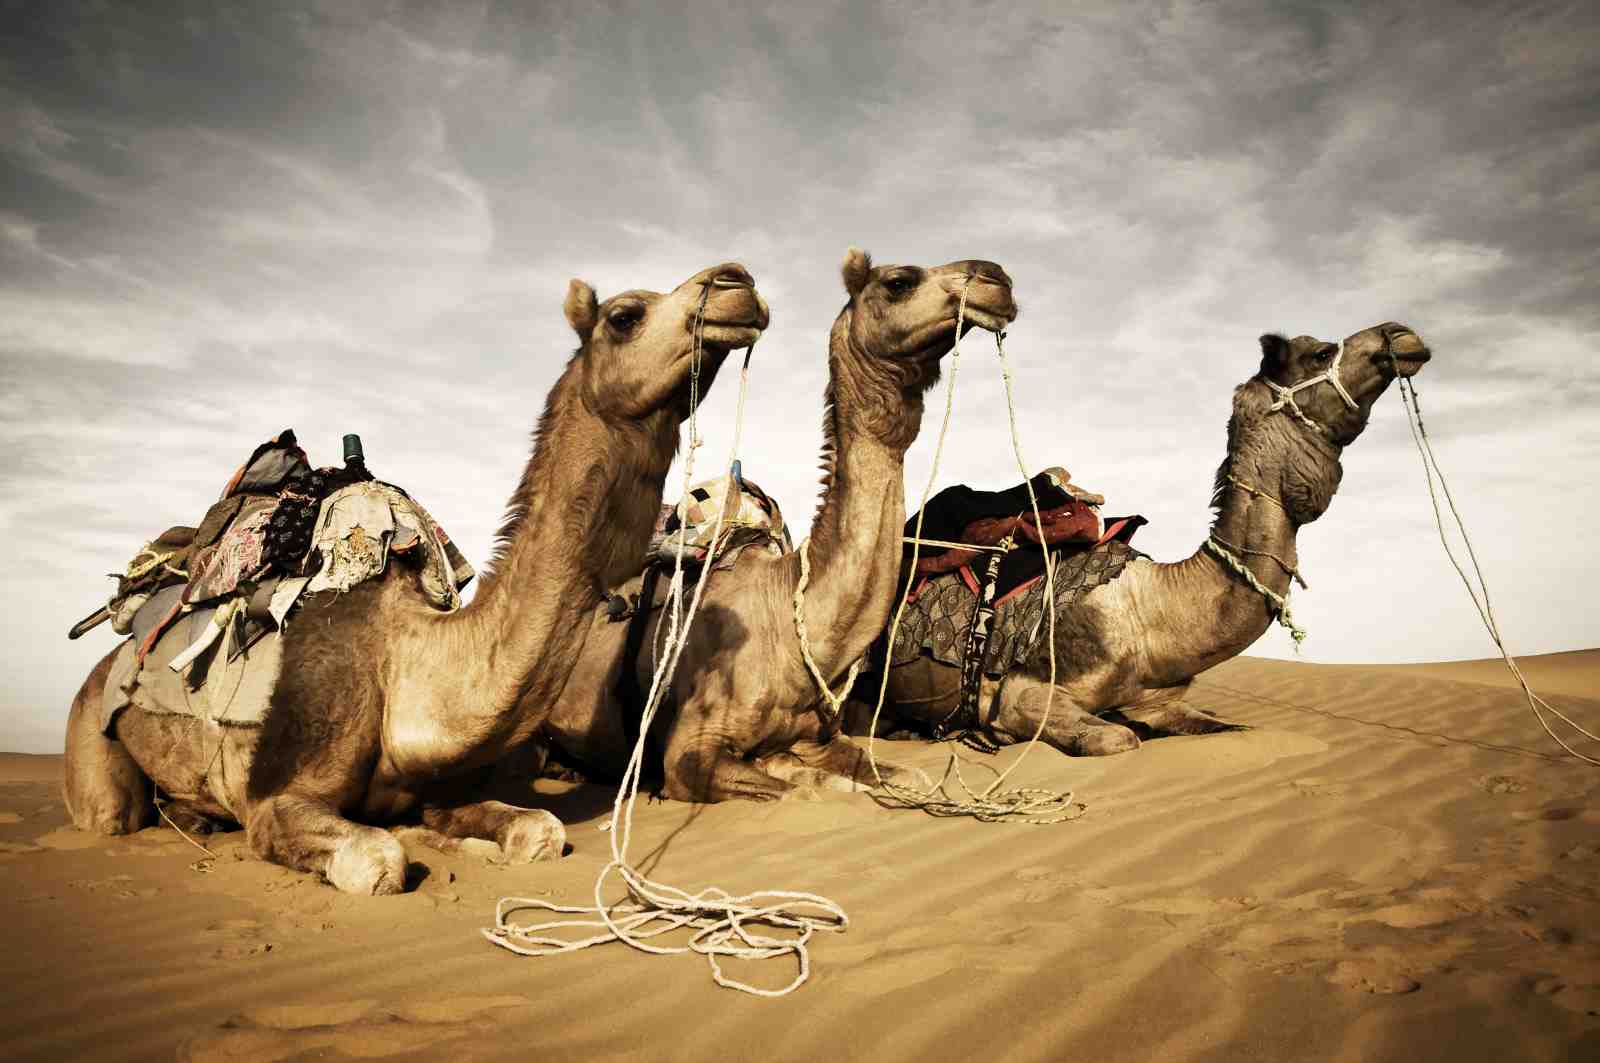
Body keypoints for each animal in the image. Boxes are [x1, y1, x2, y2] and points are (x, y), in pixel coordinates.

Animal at [61, 262, 770, 893]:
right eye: (625, 316)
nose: (737, 282)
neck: (403, 661)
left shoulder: (439, 787)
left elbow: (538, 830)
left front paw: (461, 843)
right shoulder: (274, 801)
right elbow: (378, 859)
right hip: (92, 740)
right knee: (114, 814)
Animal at [538, 250, 1019, 800]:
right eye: (899, 282)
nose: (996, 278)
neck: (789, 624)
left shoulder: (820, 735)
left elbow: (898, 776)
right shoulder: (689, 751)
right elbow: (805, 790)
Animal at [865, 323, 1432, 756]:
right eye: (1321, 351)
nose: (1400, 335)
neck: (1150, 611)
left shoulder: (1158, 698)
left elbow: (1229, 726)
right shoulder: (1024, 692)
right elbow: (1116, 739)